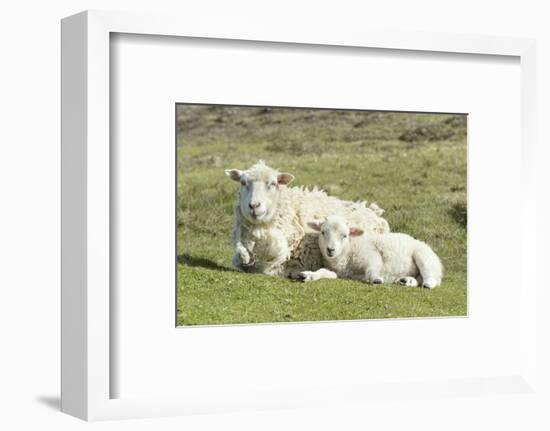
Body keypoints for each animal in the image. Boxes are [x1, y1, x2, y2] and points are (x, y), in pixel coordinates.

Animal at [225, 160, 392, 278]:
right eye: (243, 182)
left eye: (273, 184)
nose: (254, 206)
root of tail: (372, 210)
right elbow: (239, 259)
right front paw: (244, 256)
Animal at [302, 215, 444, 288]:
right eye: (322, 232)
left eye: (345, 235)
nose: (330, 250)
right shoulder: (338, 272)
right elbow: (323, 271)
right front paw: (309, 275)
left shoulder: (371, 254)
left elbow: (372, 269)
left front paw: (376, 279)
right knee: (419, 278)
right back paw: (406, 281)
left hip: (423, 256)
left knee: (431, 276)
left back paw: (428, 284)